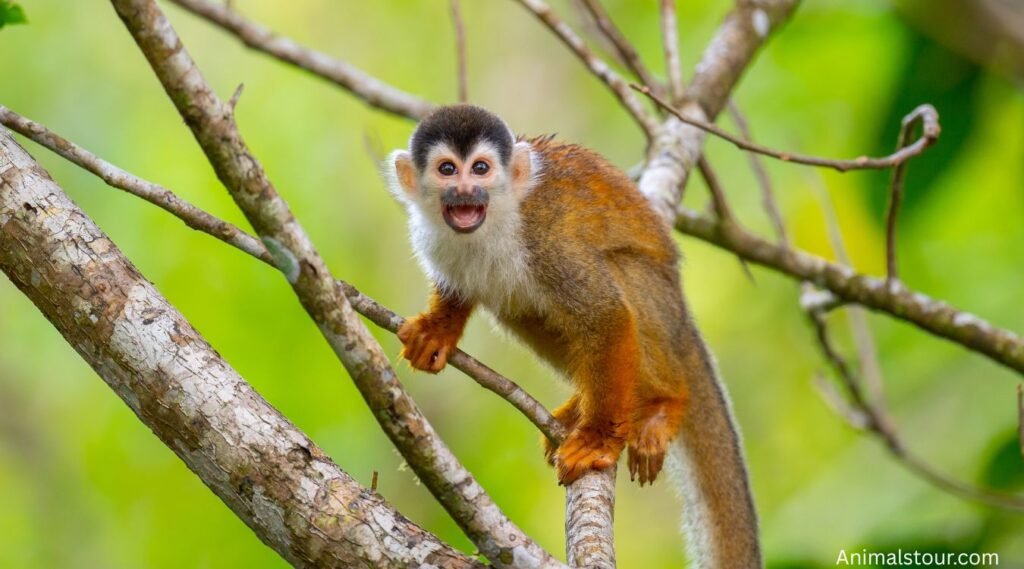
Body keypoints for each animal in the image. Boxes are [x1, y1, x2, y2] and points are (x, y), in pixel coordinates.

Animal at [388, 105, 761, 568]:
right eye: (446, 169)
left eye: (480, 168)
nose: (465, 189)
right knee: (517, 306)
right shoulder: (433, 238)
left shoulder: (547, 242)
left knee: (621, 275)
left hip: (661, 304)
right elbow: (460, 288)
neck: (493, 225)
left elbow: (606, 316)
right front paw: (439, 329)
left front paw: (598, 440)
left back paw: (659, 403)